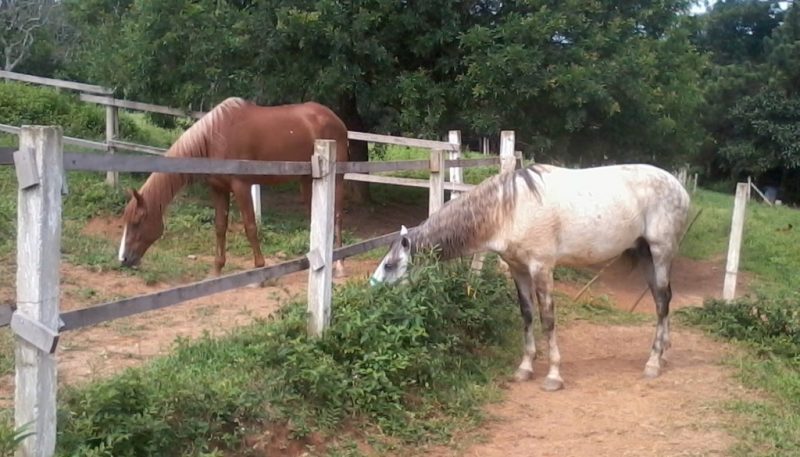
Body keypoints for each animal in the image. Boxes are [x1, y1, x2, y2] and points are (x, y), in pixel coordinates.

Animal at [117, 98, 348, 276]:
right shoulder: (218, 189)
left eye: (137, 222)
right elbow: (220, 227)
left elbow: (250, 226)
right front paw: (216, 270)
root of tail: (336, 120)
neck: (214, 137)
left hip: (337, 179)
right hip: (307, 181)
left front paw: (260, 269)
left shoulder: (241, 186)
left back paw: (338, 264)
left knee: (336, 217)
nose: (124, 259)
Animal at [372, 162, 692, 390]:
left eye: (389, 265)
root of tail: (679, 186)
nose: (373, 292)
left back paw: (653, 363)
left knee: (662, 301)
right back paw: (663, 353)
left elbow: (547, 320)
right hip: (645, 254)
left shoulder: (541, 268)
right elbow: (526, 315)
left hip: (660, 252)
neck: (508, 209)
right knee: (662, 298)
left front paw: (553, 376)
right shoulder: (518, 269)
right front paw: (525, 368)